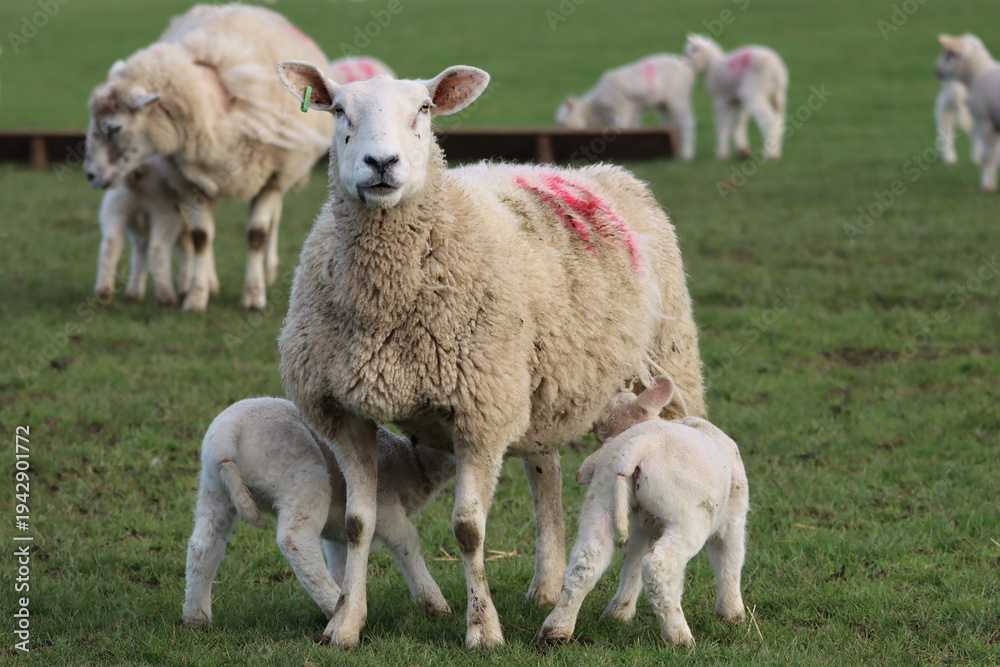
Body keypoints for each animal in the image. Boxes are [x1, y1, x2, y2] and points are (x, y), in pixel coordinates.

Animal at [83, 4, 333, 311]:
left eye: (113, 128)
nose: (91, 174)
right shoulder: (193, 184)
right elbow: (200, 238)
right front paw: (196, 296)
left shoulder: (274, 178)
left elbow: (256, 235)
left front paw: (253, 296)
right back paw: (210, 283)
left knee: (274, 219)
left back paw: (268, 271)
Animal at [182, 397, 455, 629]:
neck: (410, 463)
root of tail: (227, 435)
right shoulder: (385, 505)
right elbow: (407, 541)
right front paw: (434, 603)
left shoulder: (340, 528)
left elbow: (341, 558)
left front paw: (349, 590)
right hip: (300, 474)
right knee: (295, 540)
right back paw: (334, 607)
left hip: (214, 487)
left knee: (203, 545)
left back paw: (196, 618)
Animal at [538, 376, 748, 648]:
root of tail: (638, 446)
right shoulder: (734, 514)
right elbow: (729, 559)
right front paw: (732, 614)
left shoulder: (643, 524)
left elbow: (633, 561)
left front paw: (619, 613)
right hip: (690, 518)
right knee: (659, 566)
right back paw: (679, 637)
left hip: (602, 499)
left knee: (585, 563)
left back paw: (556, 631)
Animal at [555, 54, 696, 161]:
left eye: (564, 123)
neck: (596, 109)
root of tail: (688, 66)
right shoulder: (634, 111)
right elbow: (634, 129)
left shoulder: (622, 109)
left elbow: (623, 128)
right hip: (664, 105)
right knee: (670, 124)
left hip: (678, 99)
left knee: (688, 123)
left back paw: (687, 154)